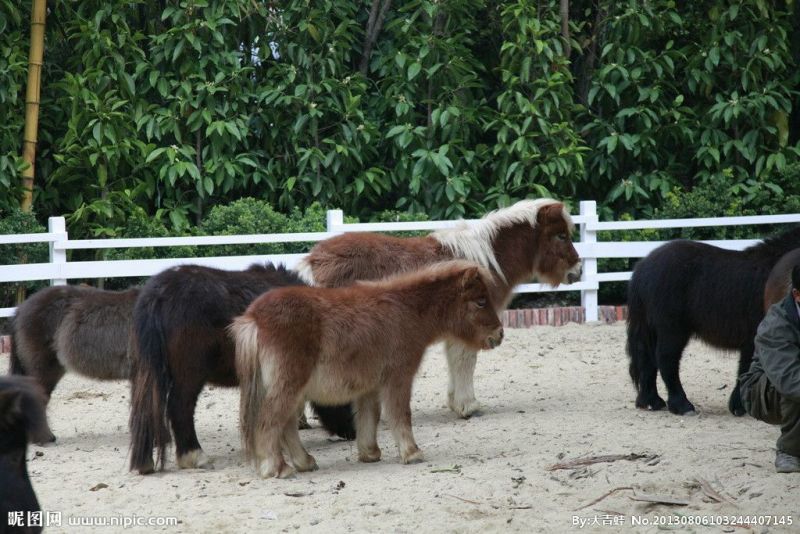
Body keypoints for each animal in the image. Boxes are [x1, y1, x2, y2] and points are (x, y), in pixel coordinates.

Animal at [233, 261, 505, 478]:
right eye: (481, 302)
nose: (500, 335)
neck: (406, 311)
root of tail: (254, 317)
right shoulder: (399, 378)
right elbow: (400, 414)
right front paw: (412, 453)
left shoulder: (370, 385)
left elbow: (369, 416)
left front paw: (370, 453)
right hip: (288, 385)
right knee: (270, 421)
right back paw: (277, 468)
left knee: (286, 423)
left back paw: (304, 462)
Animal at [295, 198, 581, 433]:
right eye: (561, 236)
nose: (577, 271)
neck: (486, 262)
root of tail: (313, 262)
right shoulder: (473, 324)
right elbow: (466, 361)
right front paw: (468, 406)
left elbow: (457, 363)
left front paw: (457, 403)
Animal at [627, 226, 800, 416]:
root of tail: (643, 267)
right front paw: (740, 406)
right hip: (672, 330)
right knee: (666, 360)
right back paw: (682, 405)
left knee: (647, 361)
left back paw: (652, 402)